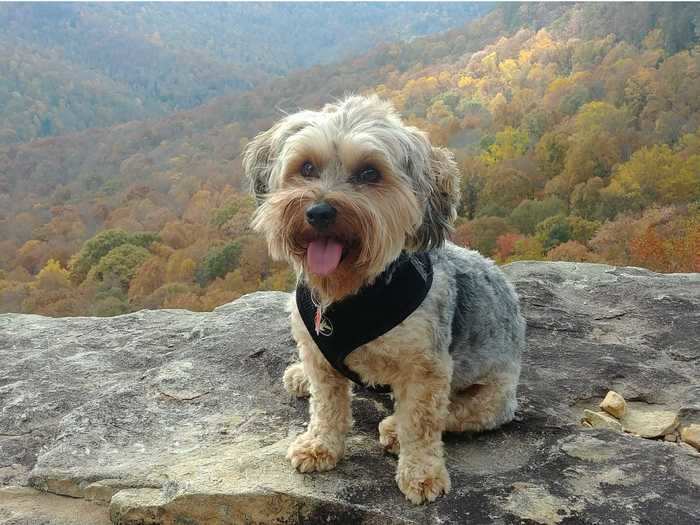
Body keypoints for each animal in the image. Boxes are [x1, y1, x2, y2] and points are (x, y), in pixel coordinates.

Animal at [243, 95, 524, 504]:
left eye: (369, 173)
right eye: (306, 167)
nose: (319, 212)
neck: (352, 294)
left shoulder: (426, 369)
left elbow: (422, 422)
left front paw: (421, 473)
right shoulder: (318, 355)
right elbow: (326, 405)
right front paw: (320, 445)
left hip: (494, 397)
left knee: (453, 413)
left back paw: (393, 428)